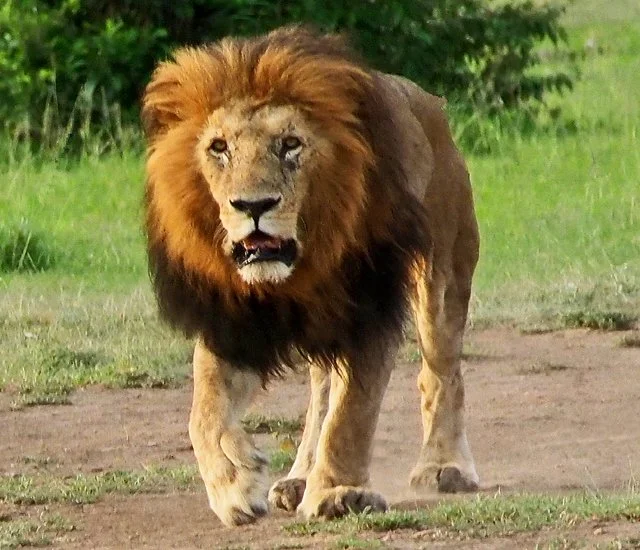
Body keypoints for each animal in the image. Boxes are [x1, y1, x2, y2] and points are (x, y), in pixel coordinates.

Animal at [142, 26, 480, 527]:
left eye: (290, 144)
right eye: (219, 147)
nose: (253, 206)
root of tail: (428, 101)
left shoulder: (367, 307)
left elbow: (351, 412)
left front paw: (339, 492)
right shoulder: (232, 317)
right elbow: (204, 411)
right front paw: (234, 484)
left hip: (441, 273)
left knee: (441, 372)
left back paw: (444, 466)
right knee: (320, 390)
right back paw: (298, 477)